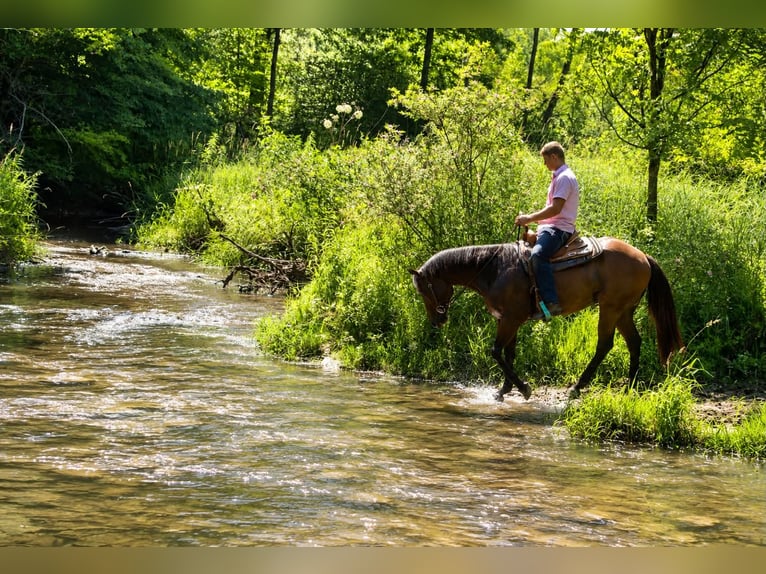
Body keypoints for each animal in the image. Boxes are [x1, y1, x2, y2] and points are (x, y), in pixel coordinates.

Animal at [409, 236, 683, 401]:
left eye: (423, 290)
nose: (436, 321)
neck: (494, 269)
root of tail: (643, 257)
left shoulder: (511, 319)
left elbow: (496, 352)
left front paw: (523, 389)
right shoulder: (507, 320)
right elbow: (508, 353)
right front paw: (504, 390)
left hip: (610, 308)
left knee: (604, 345)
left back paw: (577, 387)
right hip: (624, 311)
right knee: (634, 342)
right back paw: (629, 387)